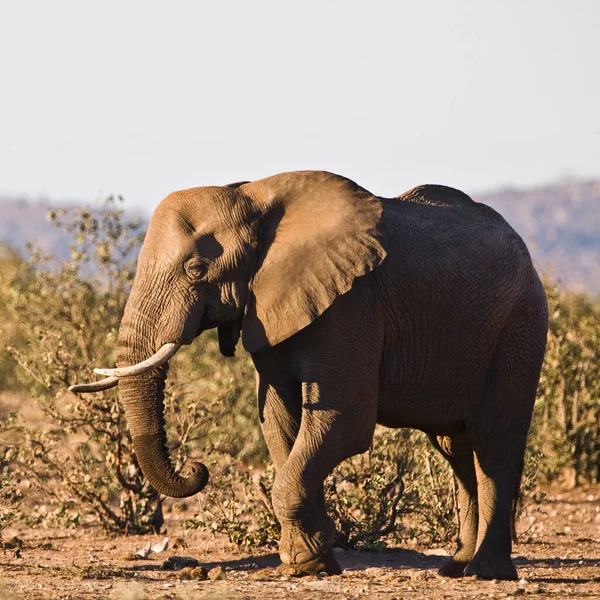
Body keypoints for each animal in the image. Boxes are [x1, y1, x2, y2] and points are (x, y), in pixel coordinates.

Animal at [70, 170, 548, 580]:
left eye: (195, 269)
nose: (197, 467)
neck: (251, 195)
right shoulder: (269, 307)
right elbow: (279, 418)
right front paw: (316, 558)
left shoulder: (351, 303)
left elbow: (344, 420)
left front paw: (303, 562)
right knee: (456, 447)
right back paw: (455, 567)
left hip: (520, 324)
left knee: (495, 441)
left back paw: (486, 572)